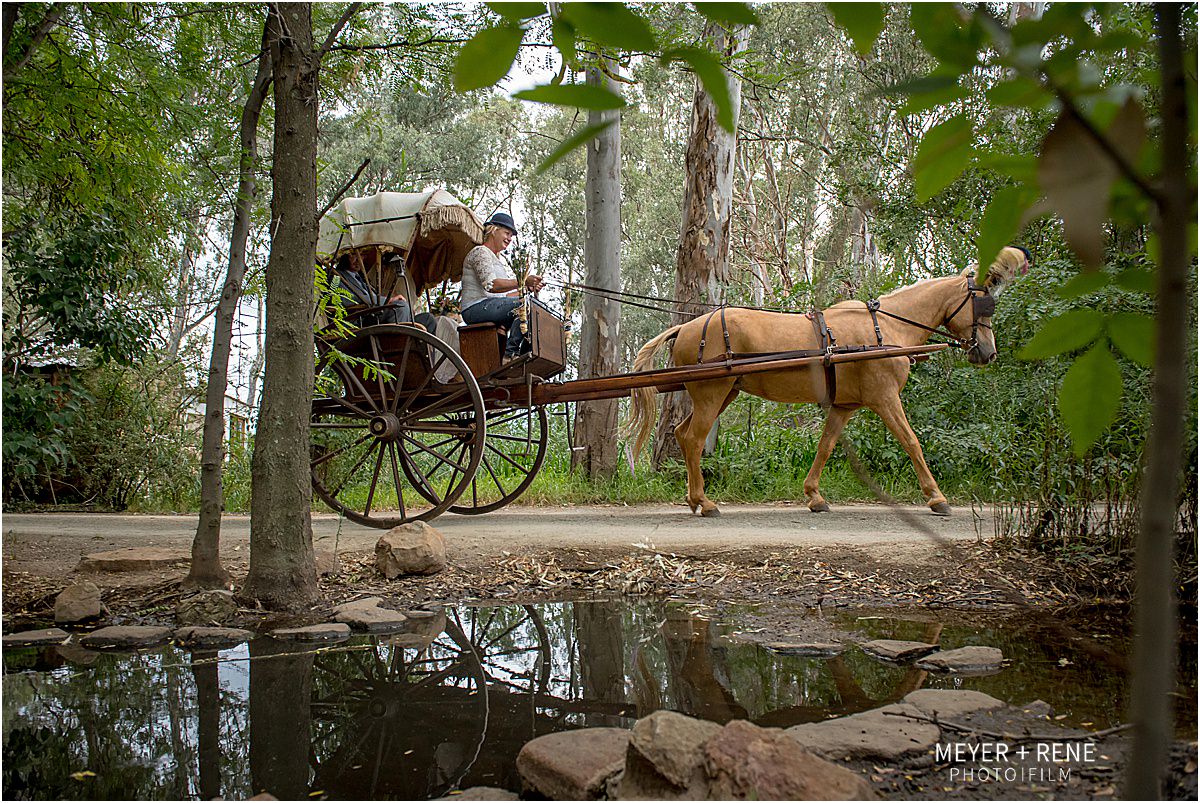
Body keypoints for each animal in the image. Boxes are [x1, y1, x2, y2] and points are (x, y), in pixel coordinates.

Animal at [628, 244, 1032, 516]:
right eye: (983, 304)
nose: (987, 352)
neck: (885, 329)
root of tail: (686, 327)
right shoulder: (886, 398)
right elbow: (912, 442)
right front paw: (937, 498)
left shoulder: (844, 405)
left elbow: (825, 446)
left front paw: (814, 496)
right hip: (712, 394)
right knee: (694, 440)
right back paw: (704, 501)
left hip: (723, 393)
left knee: (683, 435)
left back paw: (693, 499)